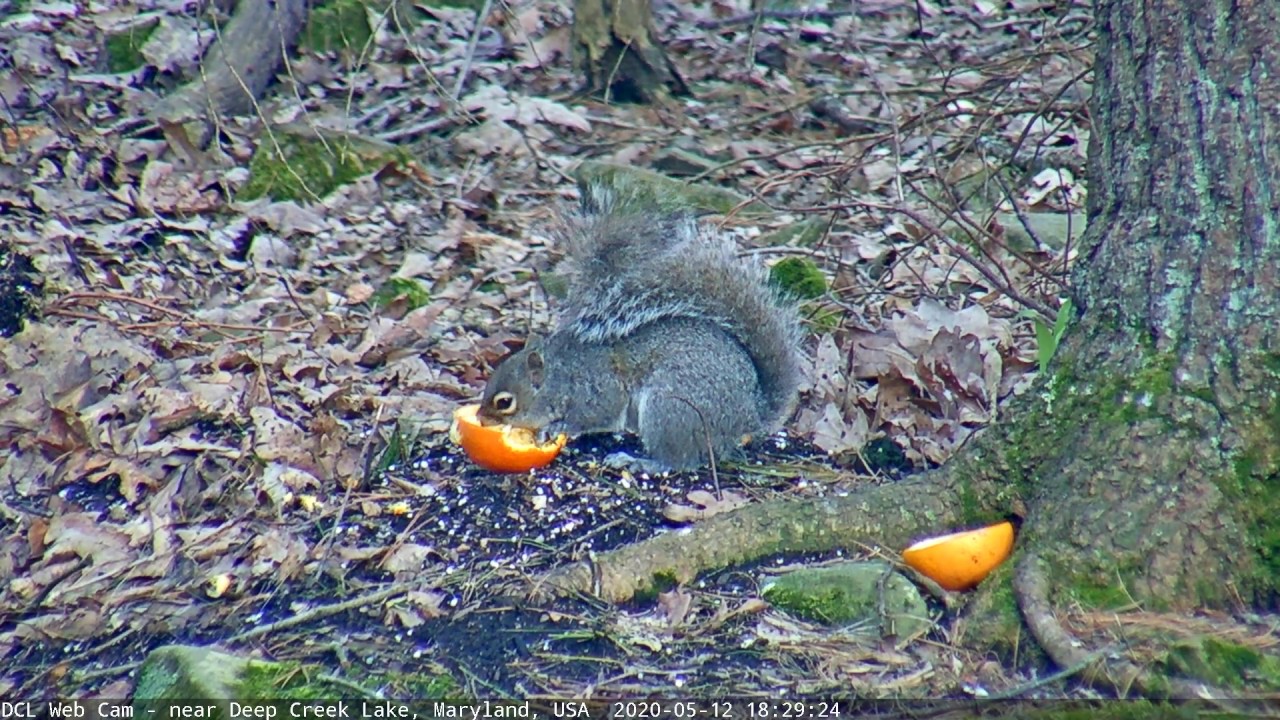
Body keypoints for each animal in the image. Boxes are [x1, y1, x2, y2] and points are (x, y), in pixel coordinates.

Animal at [477, 187, 804, 471]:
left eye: (504, 402)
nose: (479, 419)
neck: (559, 374)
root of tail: (749, 415)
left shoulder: (597, 389)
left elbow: (595, 414)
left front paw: (558, 426)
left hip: (671, 409)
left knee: (679, 460)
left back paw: (639, 461)